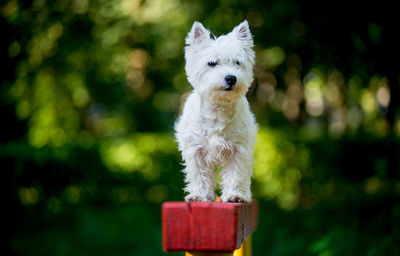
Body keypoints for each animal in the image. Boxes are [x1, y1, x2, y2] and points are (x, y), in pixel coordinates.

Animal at [174, 20, 256, 202]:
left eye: (237, 63)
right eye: (212, 63)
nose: (231, 78)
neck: (218, 108)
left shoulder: (239, 148)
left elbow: (236, 173)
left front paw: (234, 195)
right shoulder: (195, 149)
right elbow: (199, 174)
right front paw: (199, 195)